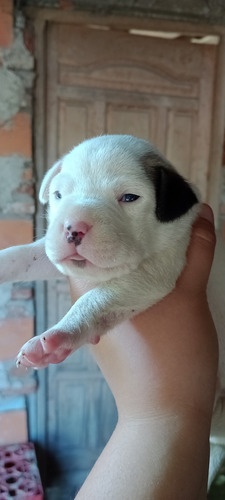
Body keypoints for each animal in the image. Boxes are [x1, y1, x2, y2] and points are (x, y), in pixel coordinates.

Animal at [0, 135, 225, 486]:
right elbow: (22, 255)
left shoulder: (154, 274)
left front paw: (56, 338)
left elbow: (96, 298)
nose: (73, 228)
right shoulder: (54, 257)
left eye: (129, 197)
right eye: (59, 195)